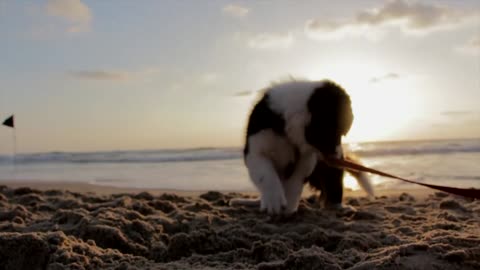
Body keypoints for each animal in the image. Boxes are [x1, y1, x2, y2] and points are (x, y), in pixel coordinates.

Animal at [232, 79, 376, 214]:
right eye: (334, 132)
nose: (339, 157)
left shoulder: (306, 160)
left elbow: (294, 183)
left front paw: (288, 207)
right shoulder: (255, 149)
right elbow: (266, 174)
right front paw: (274, 201)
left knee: (332, 186)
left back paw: (340, 207)